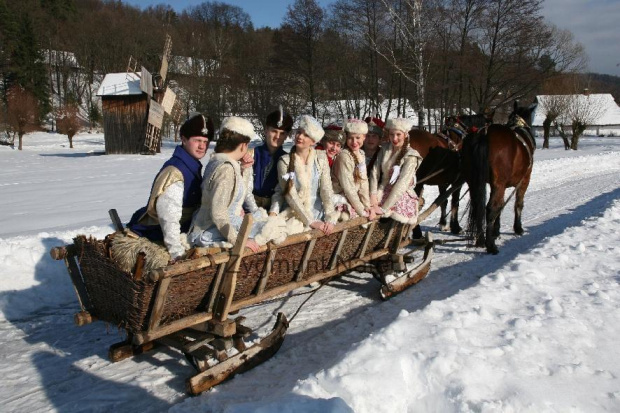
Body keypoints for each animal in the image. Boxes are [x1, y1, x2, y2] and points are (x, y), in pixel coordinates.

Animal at [460, 101, 536, 253]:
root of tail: (484, 134)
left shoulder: (500, 185)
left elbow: (500, 206)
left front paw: (496, 231)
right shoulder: (524, 179)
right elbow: (518, 203)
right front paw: (518, 228)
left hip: (475, 182)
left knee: (479, 207)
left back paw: (481, 239)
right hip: (500, 183)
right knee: (490, 209)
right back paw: (490, 245)